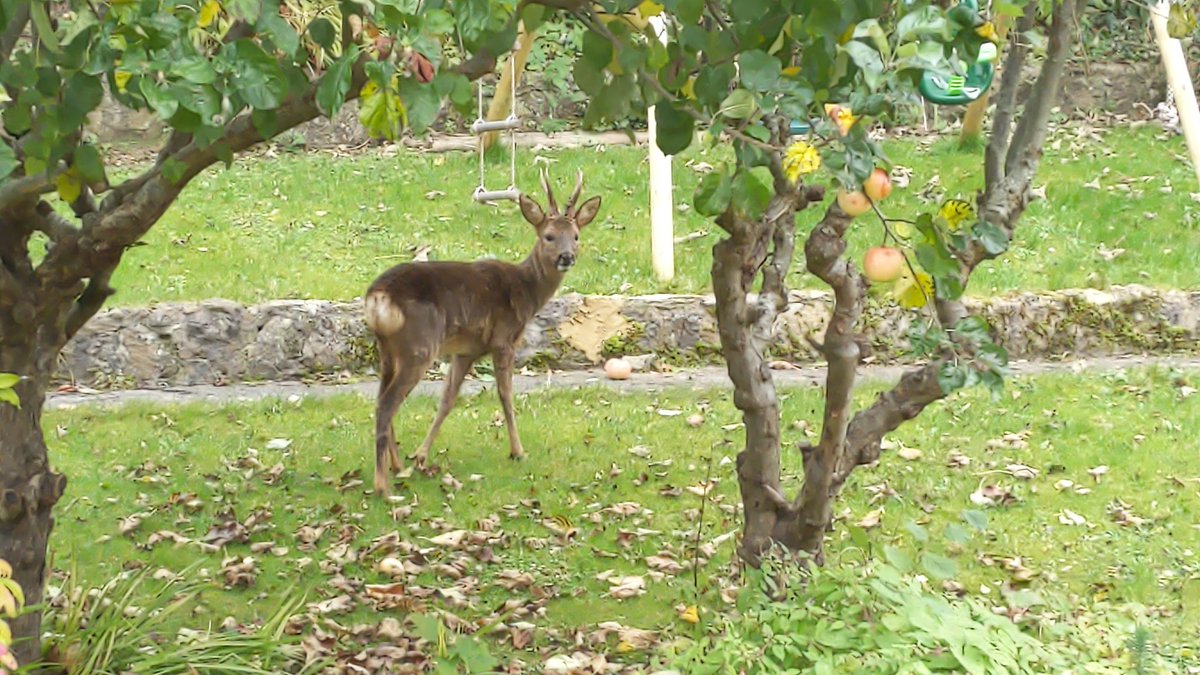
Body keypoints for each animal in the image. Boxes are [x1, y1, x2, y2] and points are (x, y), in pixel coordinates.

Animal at [363, 168, 602, 495]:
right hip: (420, 346)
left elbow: (448, 399)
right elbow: (506, 395)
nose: (567, 257)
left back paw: (398, 467)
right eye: (549, 236)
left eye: (576, 236)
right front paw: (518, 451)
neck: (526, 291)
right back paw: (382, 487)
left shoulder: (466, 350)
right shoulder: (504, 339)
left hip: (388, 349)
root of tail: (377, 297)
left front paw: (421, 456)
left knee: (381, 400)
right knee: (386, 405)